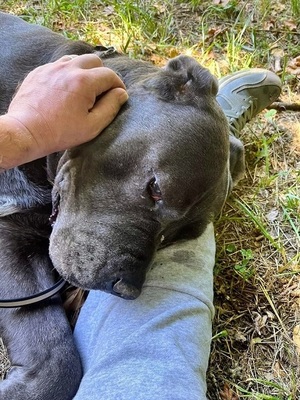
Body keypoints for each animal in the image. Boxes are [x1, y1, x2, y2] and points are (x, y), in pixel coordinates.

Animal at [0, 11, 244, 400]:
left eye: (172, 238)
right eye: (155, 189)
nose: (126, 288)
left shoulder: (13, 234)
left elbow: (53, 352)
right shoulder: (13, 238)